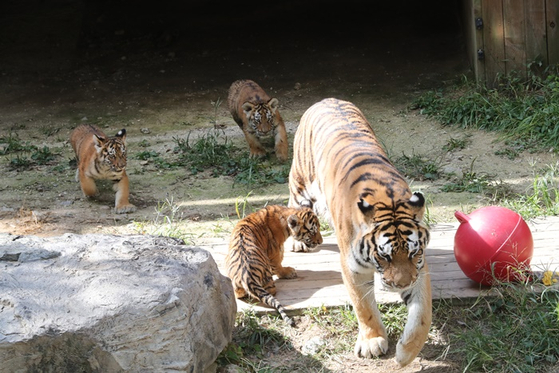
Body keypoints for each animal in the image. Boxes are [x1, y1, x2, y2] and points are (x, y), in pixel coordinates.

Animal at [288, 96, 434, 366]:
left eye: (412, 253)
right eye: (385, 256)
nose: (401, 284)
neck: (388, 198)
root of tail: (326, 99)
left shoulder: (420, 269)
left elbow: (422, 315)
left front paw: (406, 354)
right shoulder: (353, 269)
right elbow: (363, 306)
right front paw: (372, 341)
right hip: (301, 182)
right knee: (295, 205)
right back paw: (298, 241)